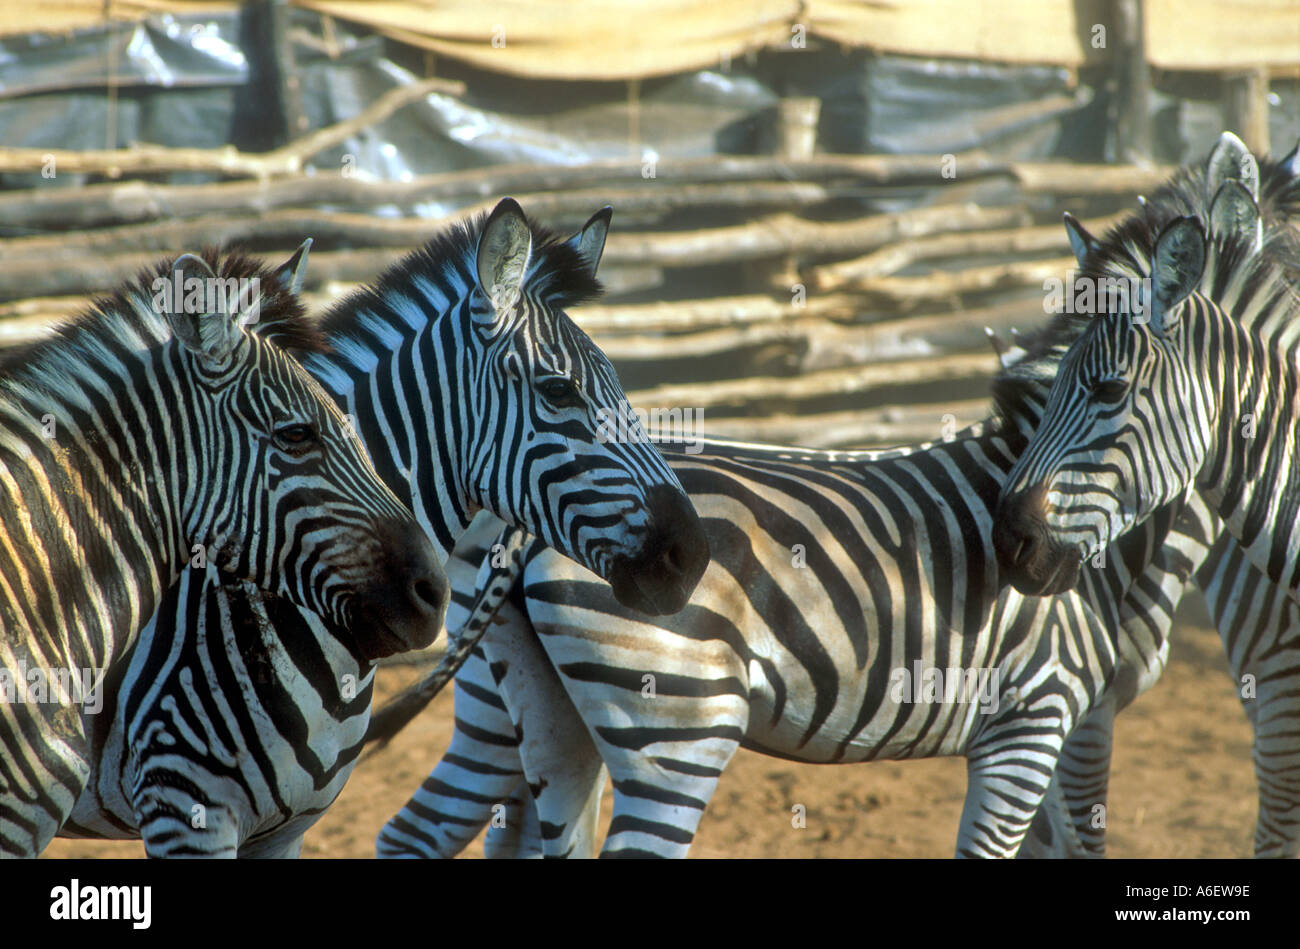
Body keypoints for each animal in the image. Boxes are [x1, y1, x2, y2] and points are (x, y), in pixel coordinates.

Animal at [370, 134, 1300, 859]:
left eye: (1104, 389)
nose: (1014, 552)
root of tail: (522, 530)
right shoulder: (1040, 721)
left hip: (520, 711)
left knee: (426, 828)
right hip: (677, 724)